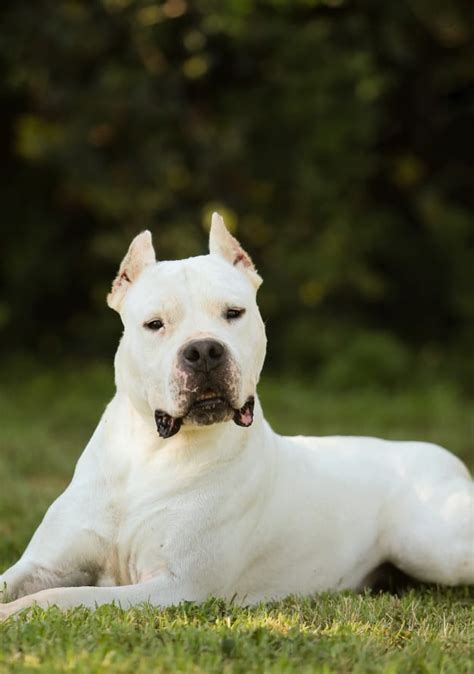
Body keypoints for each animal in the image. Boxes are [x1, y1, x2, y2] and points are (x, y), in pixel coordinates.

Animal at [1, 213, 472, 616]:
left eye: (233, 313)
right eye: (154, 324)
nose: (204, 350)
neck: (151, 453)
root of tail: (441, 455)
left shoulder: (175, 586)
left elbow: (59, 597)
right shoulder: (43, 563)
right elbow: (20, 582)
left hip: (433, 545)